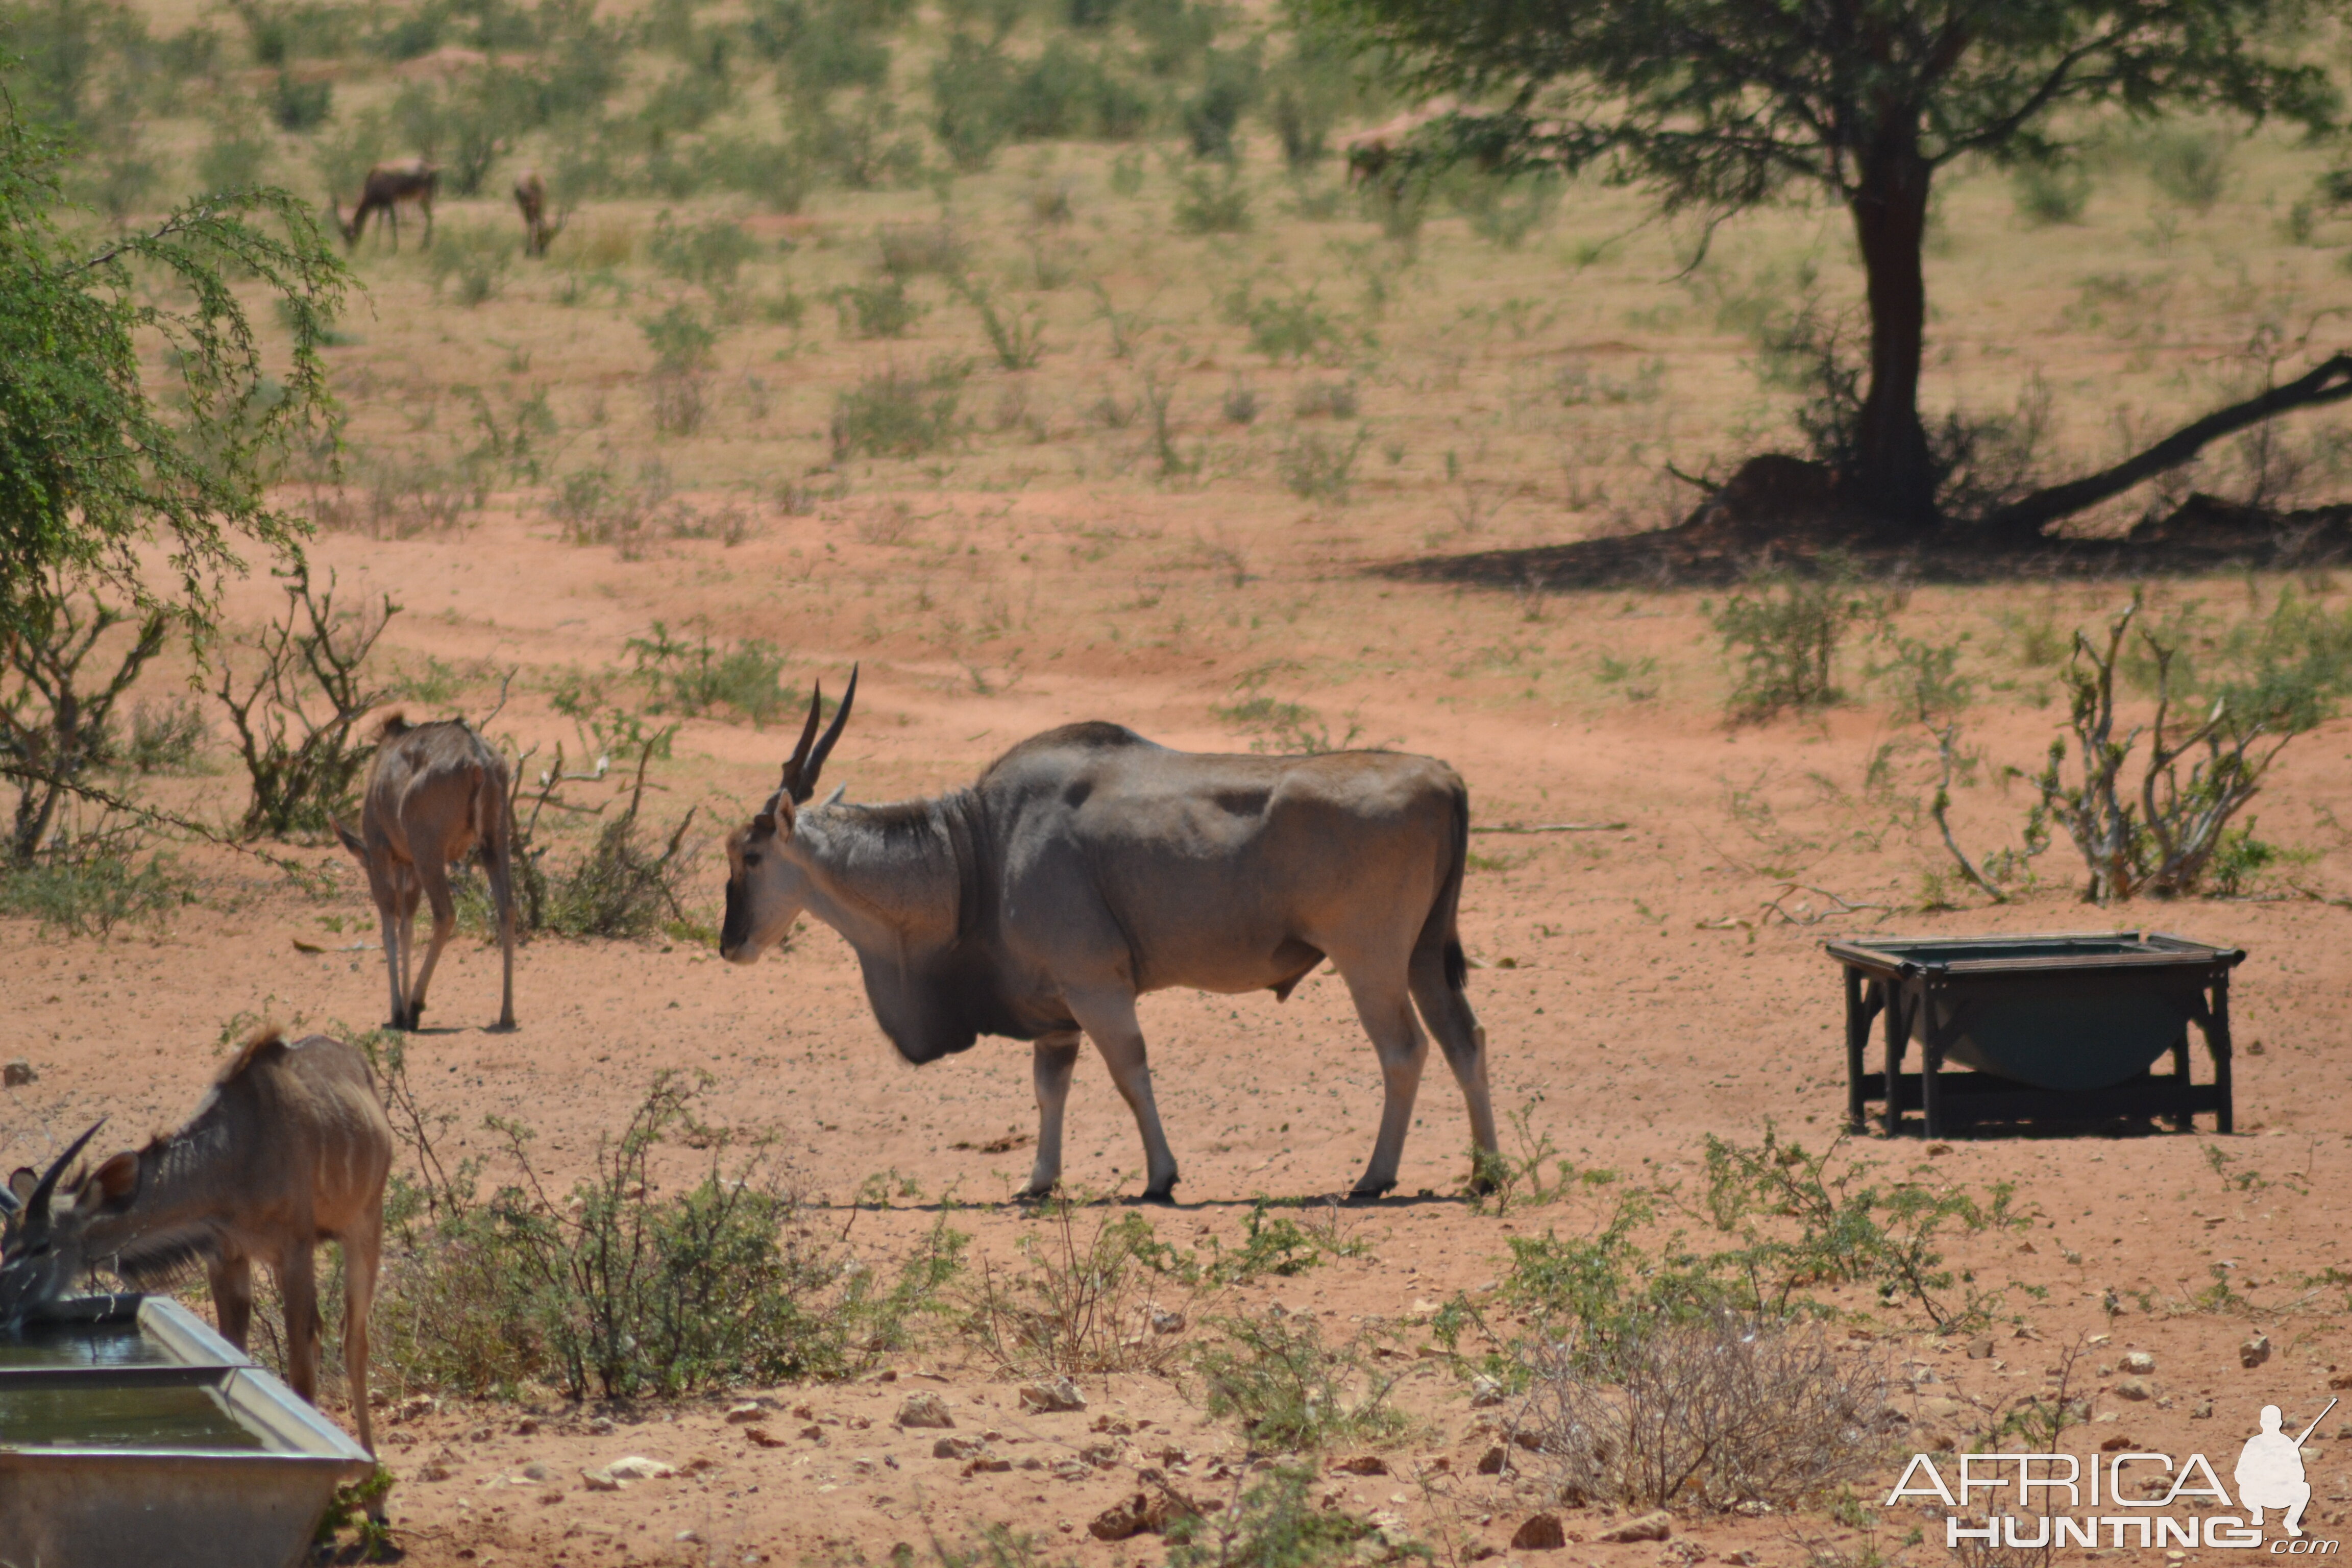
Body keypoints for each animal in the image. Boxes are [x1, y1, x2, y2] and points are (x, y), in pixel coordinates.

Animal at [0, 1030, 395, 1457]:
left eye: (42, 1245)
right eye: (6, 1244)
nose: (4, 1311)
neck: (236, 1153)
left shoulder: (294, 1251)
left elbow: (300, 1366)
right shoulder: (225, 1255)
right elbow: (234, 1347)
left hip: (365, 1226)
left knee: (353, 1338)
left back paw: (371, 1456)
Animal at [334, 160, 439, 251]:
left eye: (350, 234)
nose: (349, 252)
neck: (375, 178)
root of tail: (431, 170)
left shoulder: (390, 203)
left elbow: (393, 222)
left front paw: (394, 249)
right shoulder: (381, 206)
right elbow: (379, 224)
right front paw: (376, 247)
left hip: (425, 196)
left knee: (430, 217)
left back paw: (425, 246)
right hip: (421, 199)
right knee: (429, 217)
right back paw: (424, 246)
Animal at [336, 719, 520, 1034]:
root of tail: (478, 759)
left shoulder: (383, 852)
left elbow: (390, 928)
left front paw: (397, 1011)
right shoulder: (409, 864)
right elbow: (407, 927)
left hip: (430, 853)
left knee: (445, 914)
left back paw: (414, 1008)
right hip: (494, 843)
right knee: (507, 908)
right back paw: (506, 1014)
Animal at [512, 167, 567, 256]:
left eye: (549, 238)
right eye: (544, 237)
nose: (544, 252)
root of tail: (534, 179)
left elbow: (531, 225)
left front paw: (530, 251)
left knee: (532, 224)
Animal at [710, 672, 1505, 1204]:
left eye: (748, 855)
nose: (729, 944)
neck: (977, 850)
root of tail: (1442, 777)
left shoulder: (1096, 987)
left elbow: (1130, 1073)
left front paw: (1160, 1178)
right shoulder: (1057, 1014)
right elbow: (1049, 1089)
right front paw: (1038, 1182)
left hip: (1370, 960)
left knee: (1405, 1049)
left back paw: (1374, 1176)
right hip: (1424, 957)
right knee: (1465, 1039)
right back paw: (1485, 1171)